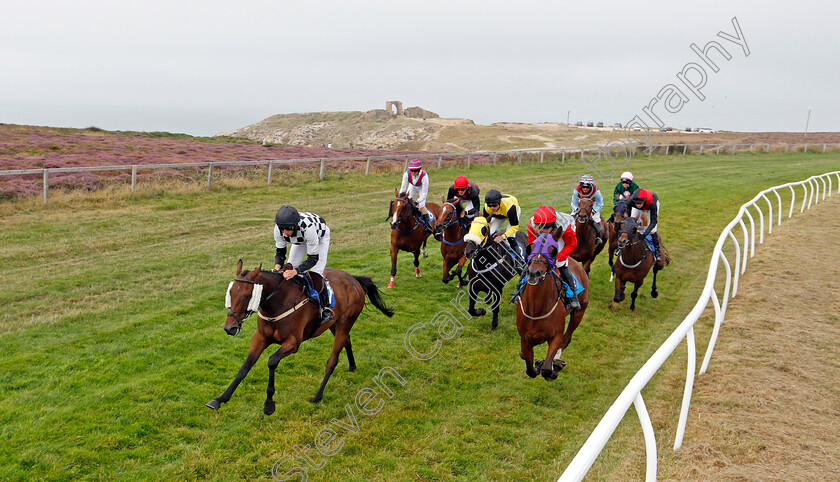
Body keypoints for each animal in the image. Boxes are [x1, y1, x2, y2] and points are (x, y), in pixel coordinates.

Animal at [208, 260, 396, 414]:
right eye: (231, 293)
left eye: (247, 296)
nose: (230, 327)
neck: (277, 303)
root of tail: (353, 279)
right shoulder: (260, 338)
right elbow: (245, 367)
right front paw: (219, 399)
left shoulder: (293, 343)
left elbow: (272, 361)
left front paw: (269, 404)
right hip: (334, 324)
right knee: (347, 341)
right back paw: (352, 366)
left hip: (345, 322)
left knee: (333, 360)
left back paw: (318, 396)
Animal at [520, 233, 592, 380]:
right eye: (530, 248)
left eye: (553, 251)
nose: (534, 272)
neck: (536, 310)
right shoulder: (525, 339)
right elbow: (529, 369)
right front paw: (536, 364)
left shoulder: (556, 336)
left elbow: (547, 369)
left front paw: (551, 367)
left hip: (579, 312)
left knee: (567, 338)